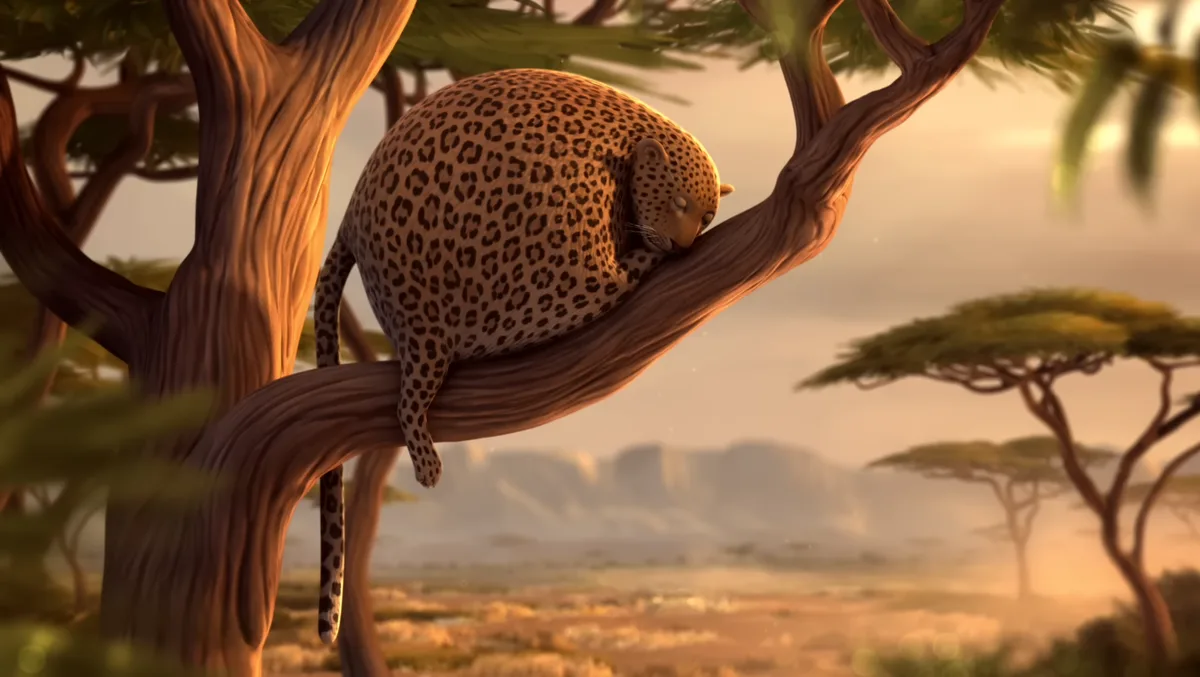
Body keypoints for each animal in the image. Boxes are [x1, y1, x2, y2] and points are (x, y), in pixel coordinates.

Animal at [309, 68, 734, 644]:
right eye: (679, 205)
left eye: (707, 213)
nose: (683, 246)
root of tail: (349, 217)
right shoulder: (578, 262)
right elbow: (617, 271)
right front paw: (646, 253)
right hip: (432, 321)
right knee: (409, 397)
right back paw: (427, 463)